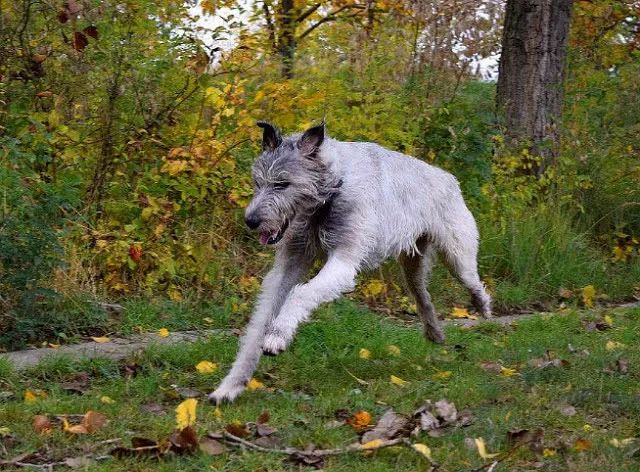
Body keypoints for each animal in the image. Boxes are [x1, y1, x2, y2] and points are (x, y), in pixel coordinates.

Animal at [209, 121, 490, 402]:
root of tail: (448, 176)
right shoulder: (290, 263)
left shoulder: (343, 262)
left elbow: (301, 293)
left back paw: (481, 305)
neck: (332, 190)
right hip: (412, 266)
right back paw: (434, 331)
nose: (251, 221)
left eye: (282, 183)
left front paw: (278, 335)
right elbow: (259, 324)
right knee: (422, 294)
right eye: (258, 182)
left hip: (457, 256)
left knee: (472, 280)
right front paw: (230, 386)